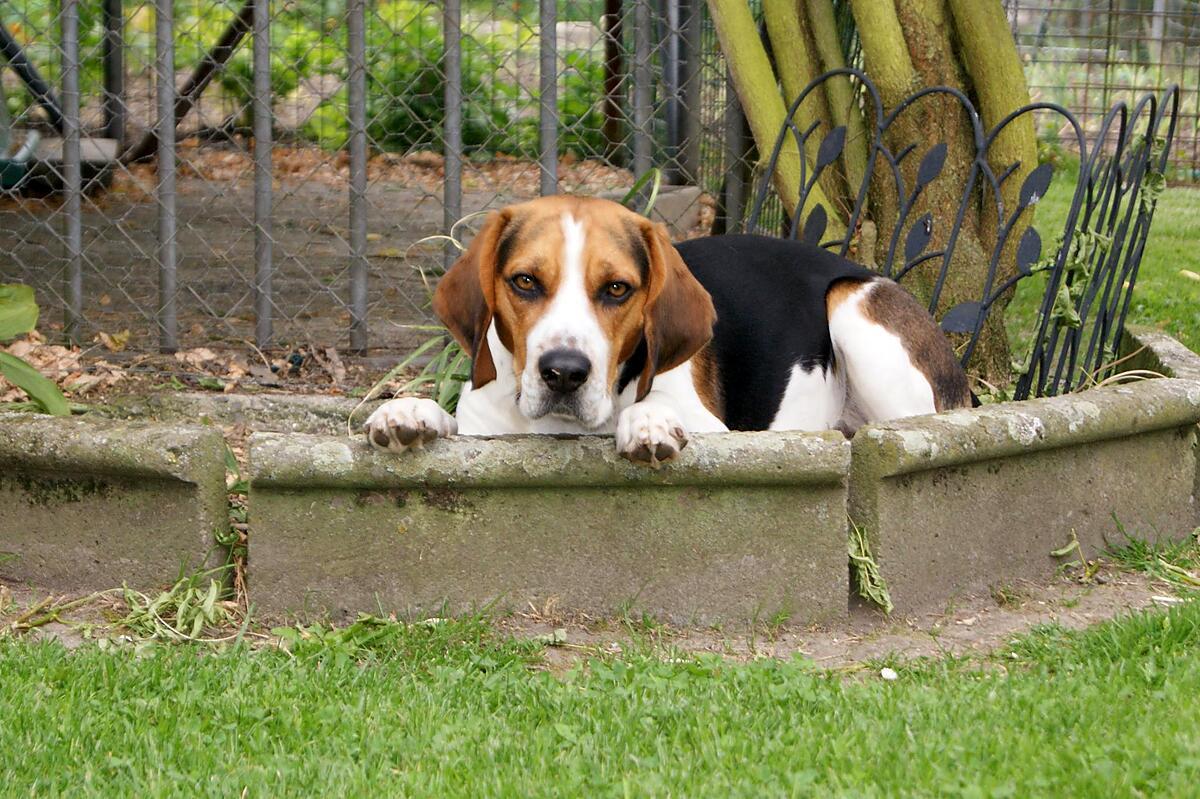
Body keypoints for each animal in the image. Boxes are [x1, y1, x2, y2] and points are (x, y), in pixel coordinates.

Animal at [362, 195, 964, 463]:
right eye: (526, 281)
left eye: (617, 289)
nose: (564, 373)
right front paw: (410, 412)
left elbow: (652, 410)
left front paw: (648, 422)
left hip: (852, 308)